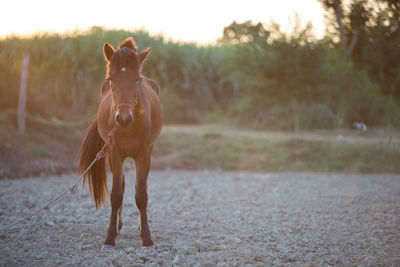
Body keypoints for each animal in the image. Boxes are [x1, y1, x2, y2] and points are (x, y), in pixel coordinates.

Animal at [77, 37, 163, 249]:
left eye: (137, 79)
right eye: (111, 78)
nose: (123, 118)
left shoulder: (143, 154)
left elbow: (141, 195)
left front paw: (146, 236)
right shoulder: (115, 152)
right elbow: (116, 194)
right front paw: (110, 236)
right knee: (122, 185)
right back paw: (118, 224)